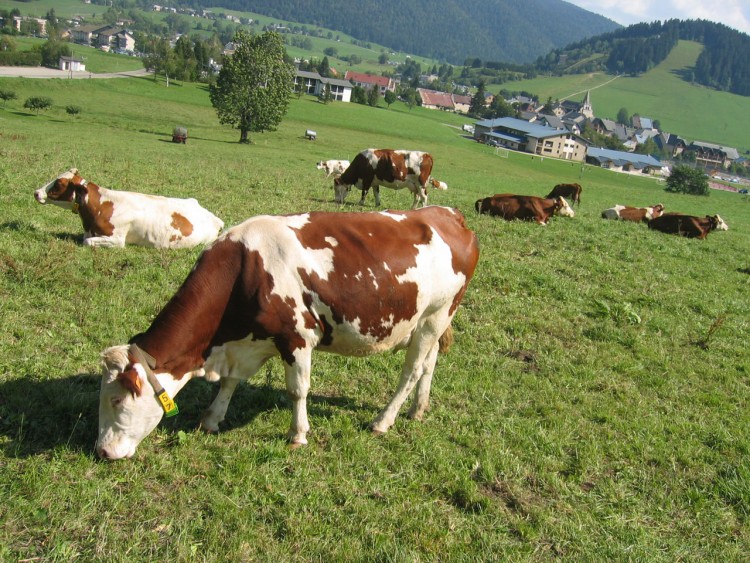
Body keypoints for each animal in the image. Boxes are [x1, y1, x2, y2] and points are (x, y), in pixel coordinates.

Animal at [95, 205, 482, 460]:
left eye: (117, 400)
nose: (102, 451)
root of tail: (446, 214)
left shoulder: (297, 338)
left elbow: (297, 390)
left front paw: (298, 435)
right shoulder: (245, 345)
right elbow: (230, 382)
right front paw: (212, 419)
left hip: (436, 314)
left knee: (412, 370)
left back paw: (383, 421)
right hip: (428, 322)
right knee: (429, 363)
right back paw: (418, 410)